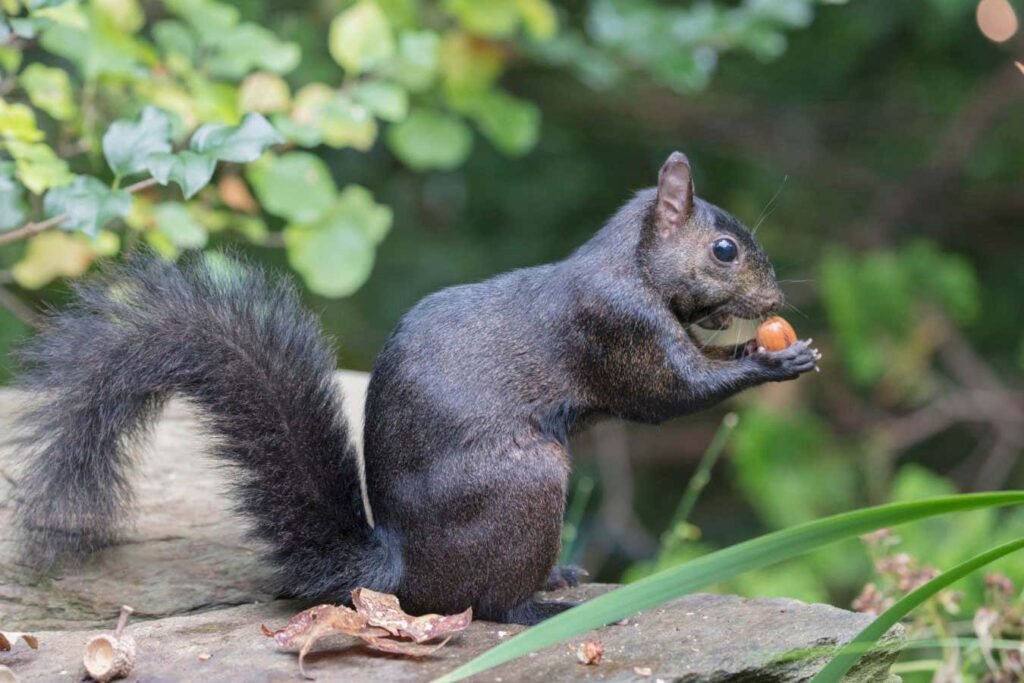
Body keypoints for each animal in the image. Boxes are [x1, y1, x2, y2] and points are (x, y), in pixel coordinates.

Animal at [12, 152, 819, 625]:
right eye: (725, 249)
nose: (775, 297)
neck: (630, 263)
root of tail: (397, 571)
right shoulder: (617, 329)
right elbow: (671, 391)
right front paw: (772, 361)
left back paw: (559, 573)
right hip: (526, 484)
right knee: (483, 604)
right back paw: (538, 608)